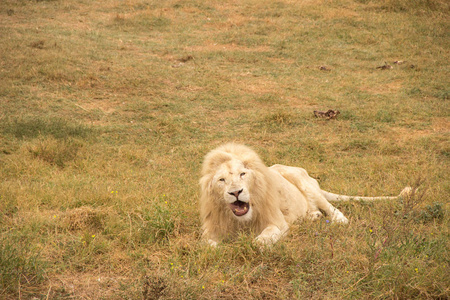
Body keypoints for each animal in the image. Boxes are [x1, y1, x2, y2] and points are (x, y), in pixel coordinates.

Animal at [200, 144, 412, 246]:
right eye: (222, 180)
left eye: (242, 174)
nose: (236, 192)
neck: (240, 220)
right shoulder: (211, 229)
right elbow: (206, 244)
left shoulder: (277, 222)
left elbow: (262, 240)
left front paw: (250, 245)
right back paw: (313, 216)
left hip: (302, 181)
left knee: (333, 209)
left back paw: (335, 221)